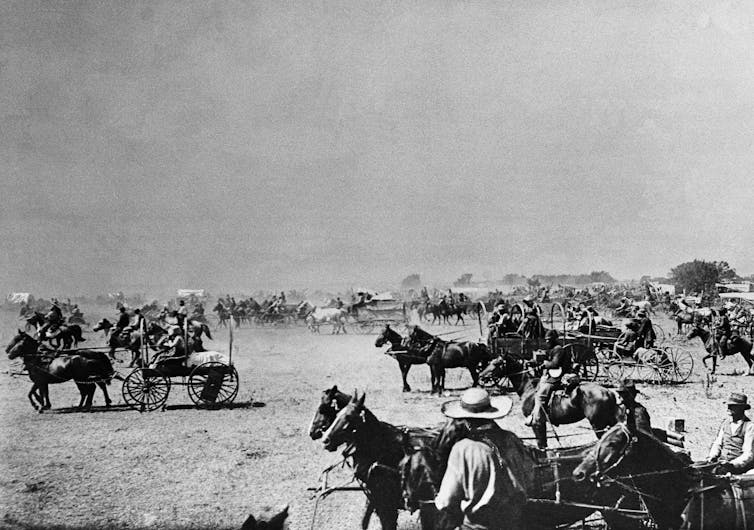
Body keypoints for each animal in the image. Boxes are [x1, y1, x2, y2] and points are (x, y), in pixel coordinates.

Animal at [312, 384, 438, 528]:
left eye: (323, 409)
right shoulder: (373, 498)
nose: (325, 440)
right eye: (337, 414)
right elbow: (364, 520)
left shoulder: (386, 505)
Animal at [476, 352, 616, 448]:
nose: (481, 376)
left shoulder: (537, 424)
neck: (529, 389)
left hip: (598, 425)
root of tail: (608, 392)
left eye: (496, 363)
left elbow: (541, 444)